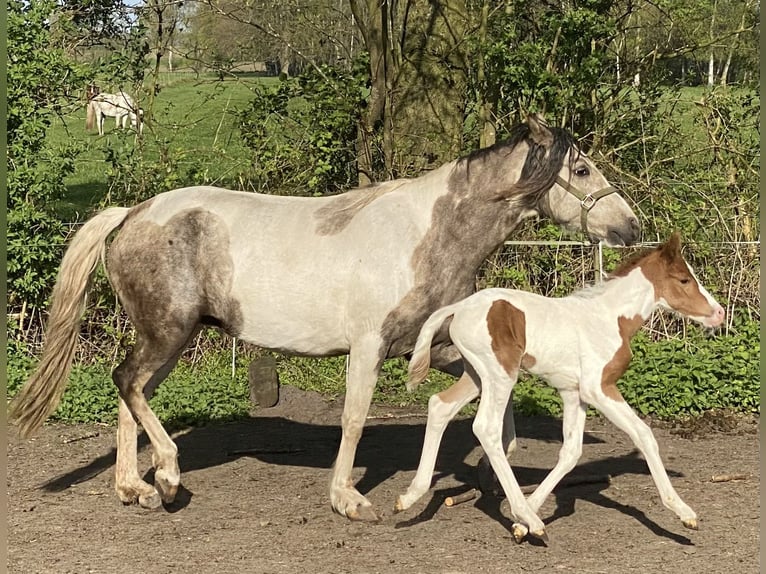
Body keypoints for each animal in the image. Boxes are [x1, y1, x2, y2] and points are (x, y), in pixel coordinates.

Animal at [15, 115, 644, 524]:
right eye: (581, 169)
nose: (631, 227)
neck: (426, 237)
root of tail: (133, 214)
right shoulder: (369, 348)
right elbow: (354, 419)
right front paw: (348, 498)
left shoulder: (436, 347)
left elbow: (494, 405)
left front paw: (504, 484)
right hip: (167, 332)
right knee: (127, 384)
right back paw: (167, 477)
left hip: (168, 337)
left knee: (130, 392)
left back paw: (134, 489)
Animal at [400, 232, 728, 544]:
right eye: (684, 279)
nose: (719, 313)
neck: (610, 319)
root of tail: (458, 307)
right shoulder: (599, 388)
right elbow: (644, 434)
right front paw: (684, 512)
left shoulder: (574, 394)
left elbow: (571, 452)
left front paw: (521, 525)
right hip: (500, 374)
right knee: (486, 429)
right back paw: (532, 521)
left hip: (476, 374)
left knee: (440, 405)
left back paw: (410, 496)